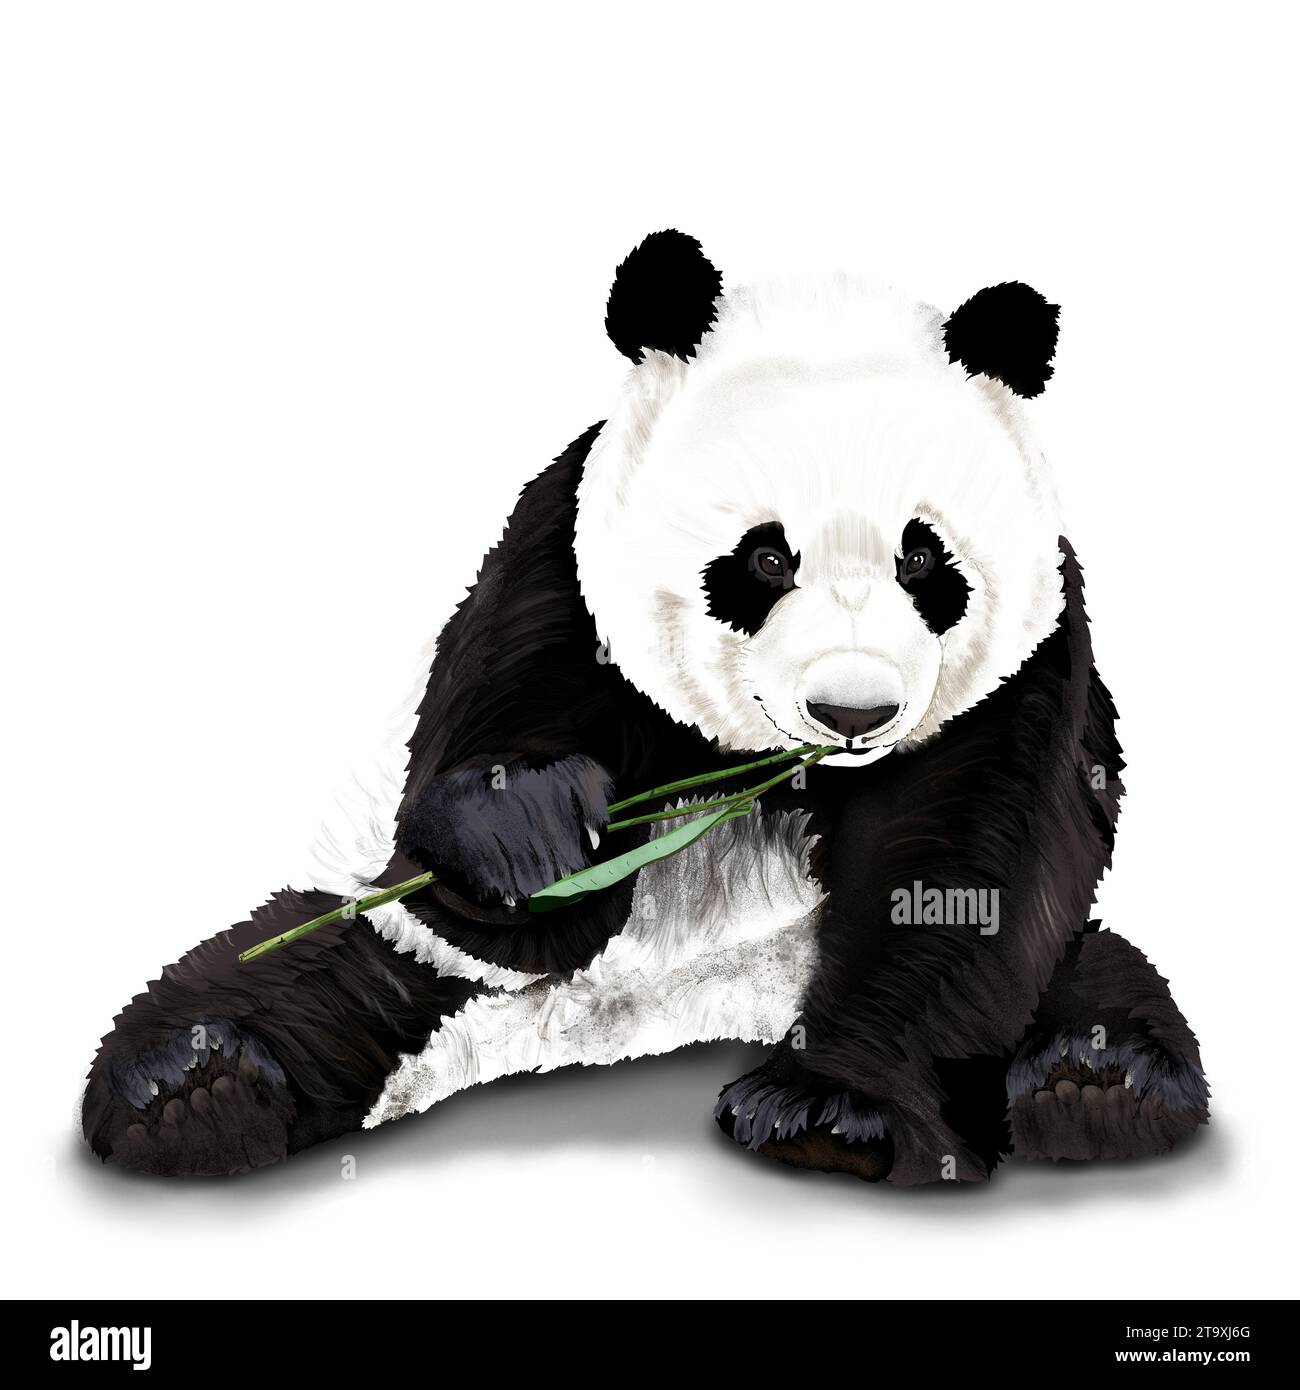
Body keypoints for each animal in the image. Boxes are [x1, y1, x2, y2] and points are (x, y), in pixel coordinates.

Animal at [82, 229, 1210, 1184]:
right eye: (763, 559)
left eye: (925, 562)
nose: (852, 714)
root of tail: (636, 1017)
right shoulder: (554, 568)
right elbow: (490, 822)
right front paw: (535, 835)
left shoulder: (1028, 663)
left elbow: (961, 873)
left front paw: (833, 1118)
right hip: (390, 940)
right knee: (300, 978)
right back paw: (194, 1086)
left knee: (1092, 981)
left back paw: (1096, 1081)